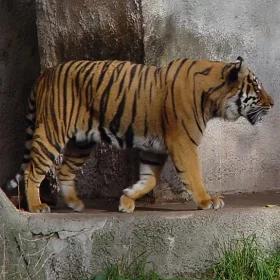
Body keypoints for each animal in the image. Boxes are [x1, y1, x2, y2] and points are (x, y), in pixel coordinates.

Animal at [6, 56, 274, 212]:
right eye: (257, 87)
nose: (273, 103)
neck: (212, 98)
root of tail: (45, 73)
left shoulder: (153, 149)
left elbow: (149, 180)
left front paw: (126, 199)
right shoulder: (183, 143)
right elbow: (193, 174)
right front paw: (207, 200)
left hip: (81, 142)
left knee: (63, 170)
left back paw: (75, 203)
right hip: (53, 132)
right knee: (32, 171)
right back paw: (37, 206)